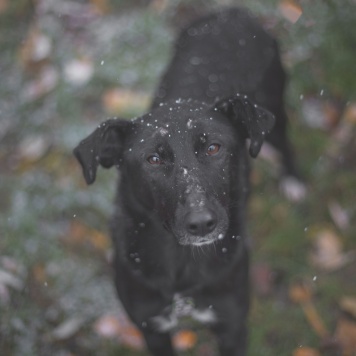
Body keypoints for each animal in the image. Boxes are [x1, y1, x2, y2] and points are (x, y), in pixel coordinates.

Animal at [76, 7, 300, 356]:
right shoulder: (151, 326)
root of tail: (233, 12)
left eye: (213, 148)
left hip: (275, 106)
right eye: (153, 160)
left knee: (286, 143)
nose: (201, 223)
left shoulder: (232, 325)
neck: (182, 273)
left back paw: (293, 182)